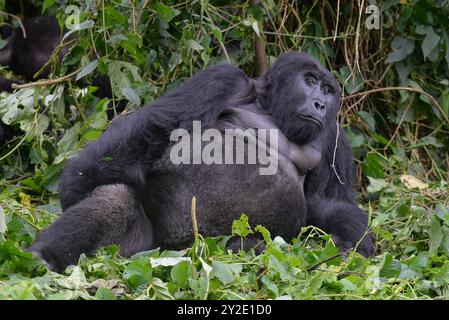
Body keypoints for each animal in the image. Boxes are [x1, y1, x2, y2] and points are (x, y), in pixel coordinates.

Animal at [29, 52, 372, 272]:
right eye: (310, 81)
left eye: (327, 89)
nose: (320, 103)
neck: (272, 108)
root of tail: (171, 249)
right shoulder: (224, 79)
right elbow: (155, 124)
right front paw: (75, 185)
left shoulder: (335, 137)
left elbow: (328, 204)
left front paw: (352, 246)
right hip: (138, 253)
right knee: (115, 199)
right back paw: (44, 255)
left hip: (166, 253)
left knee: (252, 248)